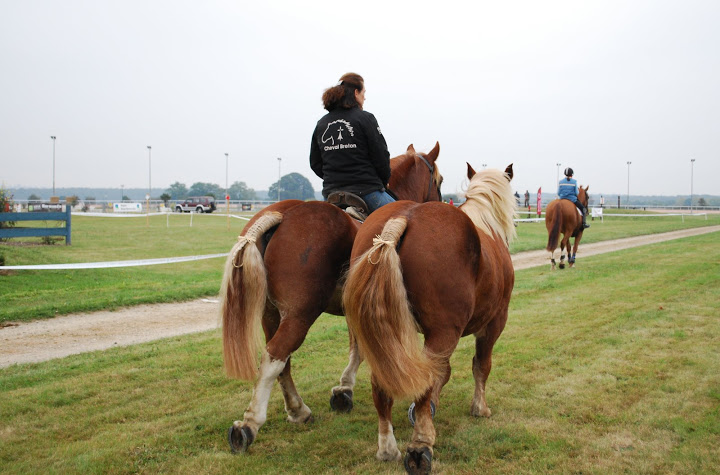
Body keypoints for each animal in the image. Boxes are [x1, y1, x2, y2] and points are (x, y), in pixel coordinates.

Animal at [222, 143, 442, 456]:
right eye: (438, 180)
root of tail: (281, 214)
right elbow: (359, 350)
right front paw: (345, 388)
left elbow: (356, 348)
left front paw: (343, 389)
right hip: (299, 314)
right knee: (276, 355)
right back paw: (251, 423)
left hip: (272, 314)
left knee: (280, 360)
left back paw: (297, 410)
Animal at [342, 165, 516, 475]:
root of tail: (403, 217)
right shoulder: (494, 322)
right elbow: (481, 366)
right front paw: (479, 408)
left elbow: (442, 373)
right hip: (444, 333)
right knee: (424, 383)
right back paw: (421, 445)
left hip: (386, 336)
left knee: (381, 385)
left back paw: (388, 447)